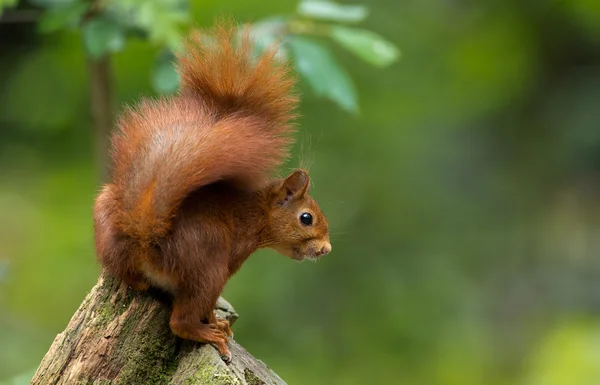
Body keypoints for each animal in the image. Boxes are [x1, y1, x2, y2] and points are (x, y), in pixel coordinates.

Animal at [92, 21, 332, 362]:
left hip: (105, 215)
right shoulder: (233, 254)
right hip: (209, 264)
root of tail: (147, 241)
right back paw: (209, 333)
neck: (257, 213)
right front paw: (216, 321)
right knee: (180, 320)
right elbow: (206, 307)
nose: (326, 249)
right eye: (306, 218)